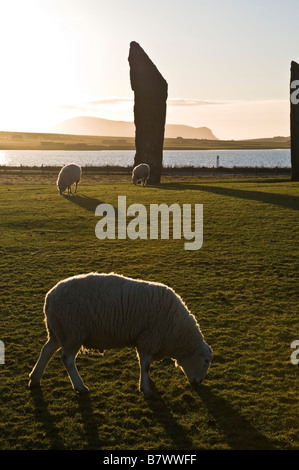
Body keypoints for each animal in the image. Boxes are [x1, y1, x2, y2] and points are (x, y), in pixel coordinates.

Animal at [28, 272, 213, 396]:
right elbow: (145, 365)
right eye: (206, 361)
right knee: (67, 359)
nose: (198, 383)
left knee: (46, 351)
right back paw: (80, 386)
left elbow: (145, 365)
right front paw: (145, 388)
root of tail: (49, 298)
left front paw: (147, 381)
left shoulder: (145, 340)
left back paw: (34, 379)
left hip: (59, 331)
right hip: (72, 332)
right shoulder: (148, 339)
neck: (178, 333)